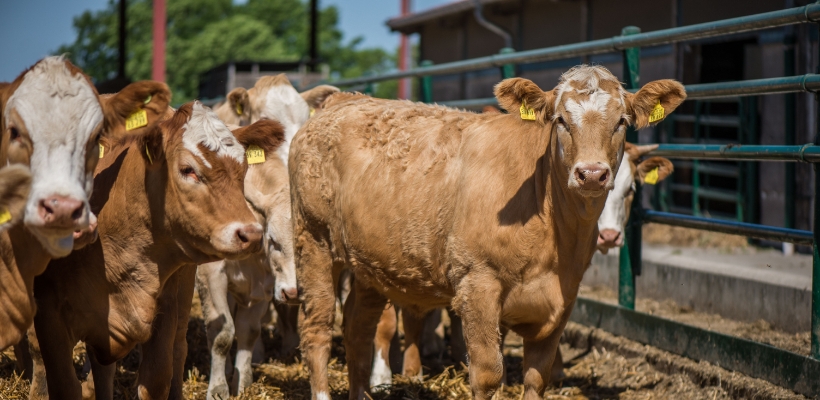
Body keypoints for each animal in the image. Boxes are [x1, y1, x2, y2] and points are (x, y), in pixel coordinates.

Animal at [28, 101, 286, 398]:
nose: (251, 234)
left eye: (243, 169)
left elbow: (157, 378)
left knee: (177, 350)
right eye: (187, 169)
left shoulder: (165, 309)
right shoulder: (50, 316)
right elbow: (61, 380)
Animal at [288, 66, 684, 400]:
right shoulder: (477, 285)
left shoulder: (562, 301)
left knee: (358, 329)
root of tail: (343, 100)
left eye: (621, 121)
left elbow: (537, 378)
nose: (591, 174)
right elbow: (488, 374)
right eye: (560, 120)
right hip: (313, 242)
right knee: (317, 328)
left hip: (370, 264)